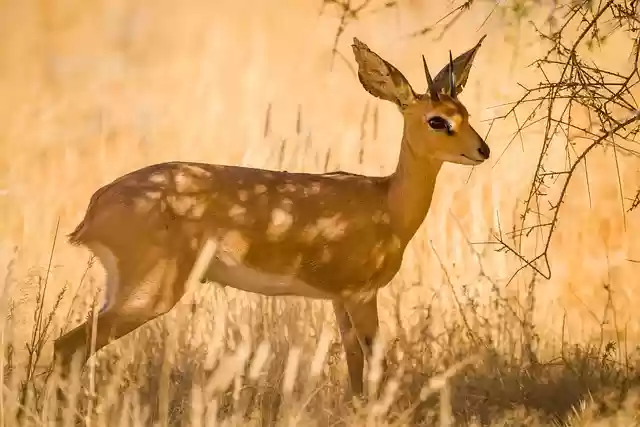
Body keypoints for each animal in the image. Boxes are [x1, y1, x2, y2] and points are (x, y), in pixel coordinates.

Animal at [54, 37, 490, 397]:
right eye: (437, 120)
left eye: (465, 112)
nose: (482, 150)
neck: (386, 201)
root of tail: (98, 204)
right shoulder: (362, 295)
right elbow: (375, 359)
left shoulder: (339, 299)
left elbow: (354, 367)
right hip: (147, 296)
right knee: (67, 348)